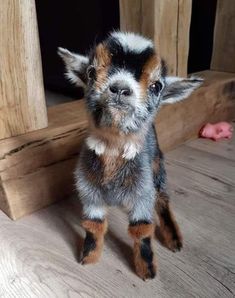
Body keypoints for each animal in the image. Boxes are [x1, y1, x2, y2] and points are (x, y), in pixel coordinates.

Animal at [58, 32, 202, 280]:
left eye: (156, 86)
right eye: (91, 72)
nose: (120, 88)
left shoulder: (142, 194)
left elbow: (141, 230)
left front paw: (147, 270)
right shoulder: (89, 192)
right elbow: (93, 225)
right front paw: (89, 257)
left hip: (157, 167)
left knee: (163, 198)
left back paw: (174, 239)